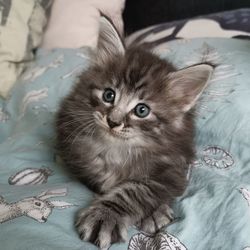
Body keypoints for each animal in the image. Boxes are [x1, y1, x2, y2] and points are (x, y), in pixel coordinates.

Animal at [56, 16, 213, 249]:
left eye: (142, 110)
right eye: (109, 95)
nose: (113, 122)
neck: (118, 149)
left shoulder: (172, 169)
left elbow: (135, 190)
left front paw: (109, 215)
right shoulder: (77, 155)